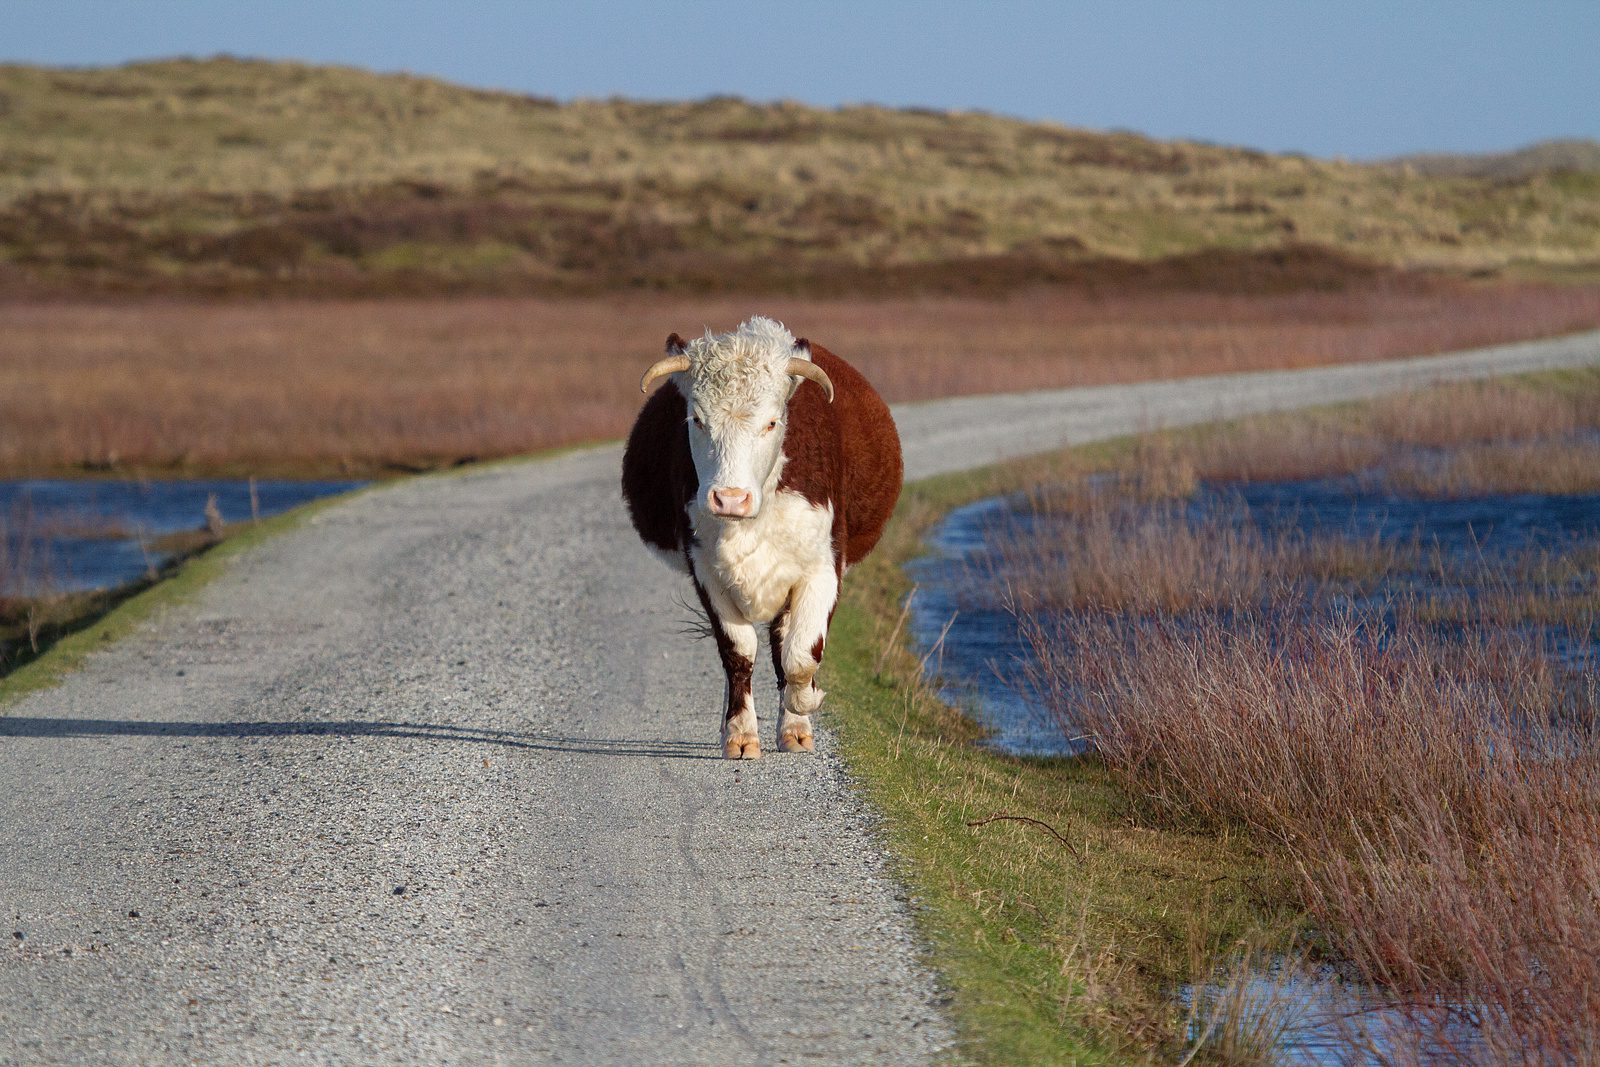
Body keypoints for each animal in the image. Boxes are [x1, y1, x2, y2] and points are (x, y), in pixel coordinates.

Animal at [620, 316, 908, 758]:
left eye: (771, 422)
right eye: (697, 420)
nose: (730, 498)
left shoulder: (823, 569)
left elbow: (800, 656)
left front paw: (805, 703)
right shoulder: (706, 570)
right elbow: (738, 653)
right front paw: (739, 734)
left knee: (783, 644)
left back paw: (795, 726)